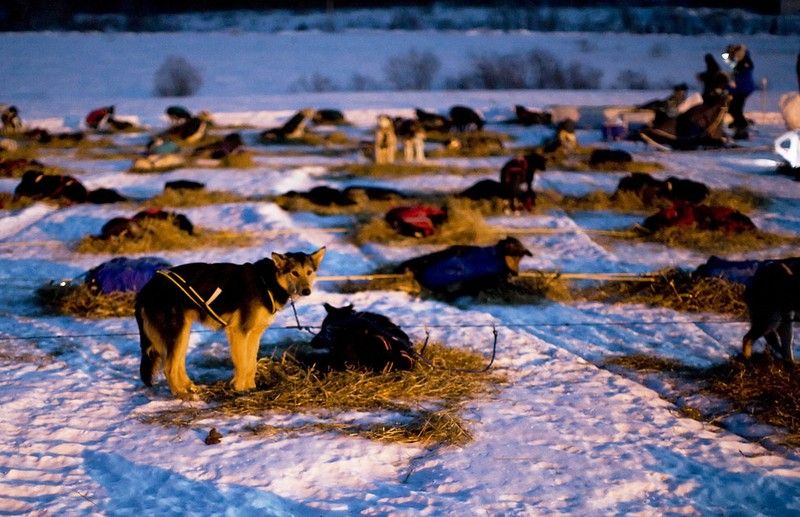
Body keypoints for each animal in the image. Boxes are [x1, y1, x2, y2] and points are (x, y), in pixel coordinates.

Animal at [134, 248, 324, 398]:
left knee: (178, 364)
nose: (306, 291)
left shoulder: (254, 334)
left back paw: (191, 388)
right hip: (176, 333)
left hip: (182, 334)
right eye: (294, 273)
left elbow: (251, 364)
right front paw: (239, 389)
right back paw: (182, 395)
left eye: (309, 272)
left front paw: (251, 388)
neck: (267, 282)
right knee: (169, 368)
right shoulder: (239, 331)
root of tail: (145, 289)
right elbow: (243, 364)